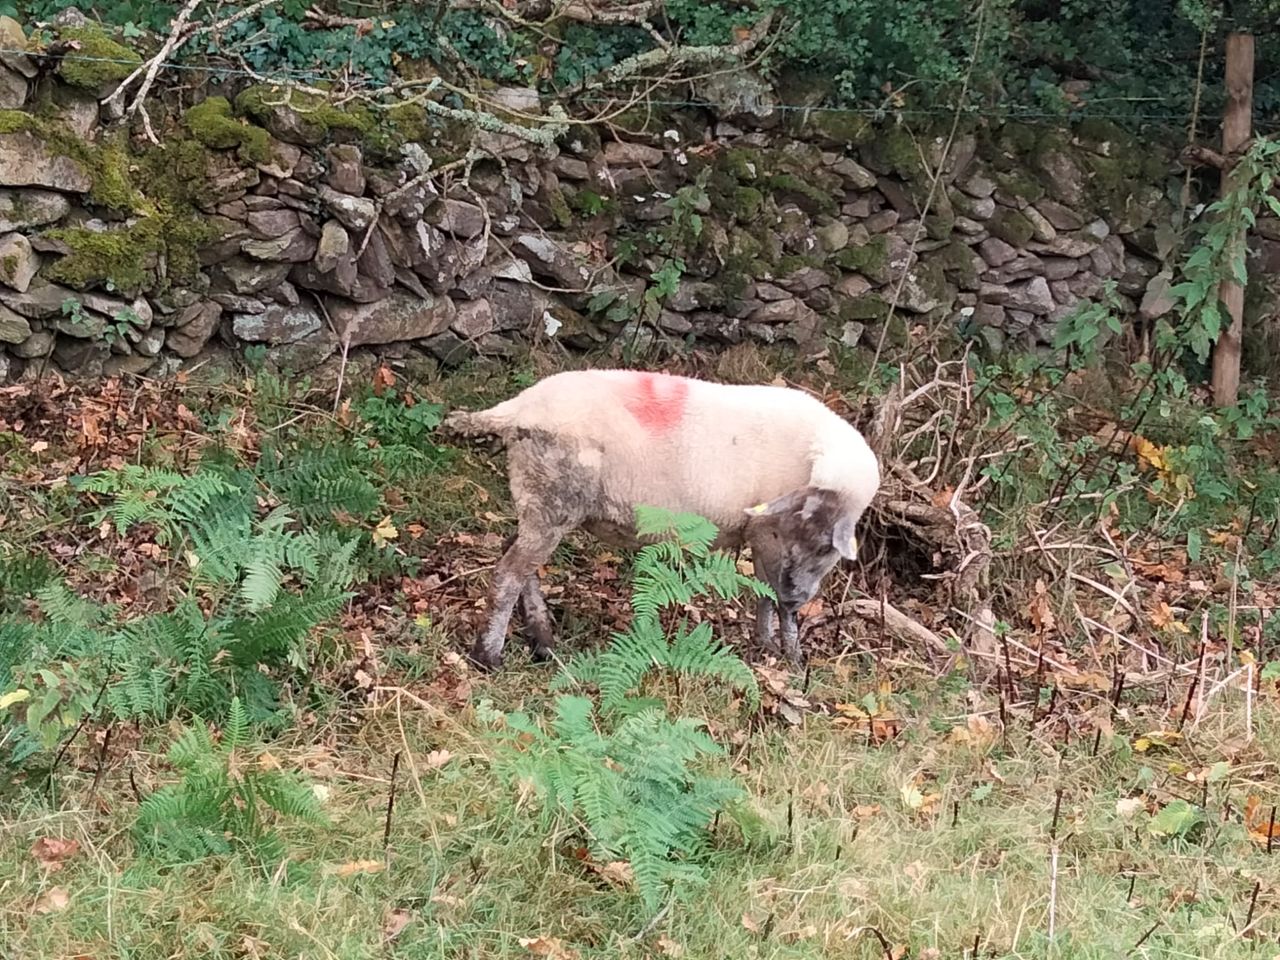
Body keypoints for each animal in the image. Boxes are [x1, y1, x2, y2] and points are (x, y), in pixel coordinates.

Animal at [442, 368, 881, 670]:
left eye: (825, 547)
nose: (797, 595)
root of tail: (518, 407)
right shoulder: (766, 535)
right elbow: (767, 592)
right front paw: (787, 653)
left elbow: (766, 593)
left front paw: (773, 645)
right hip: (554, 497)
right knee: (509, 574)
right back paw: (488, 656)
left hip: (538, 495)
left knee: (519, 563)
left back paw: (543, 640)